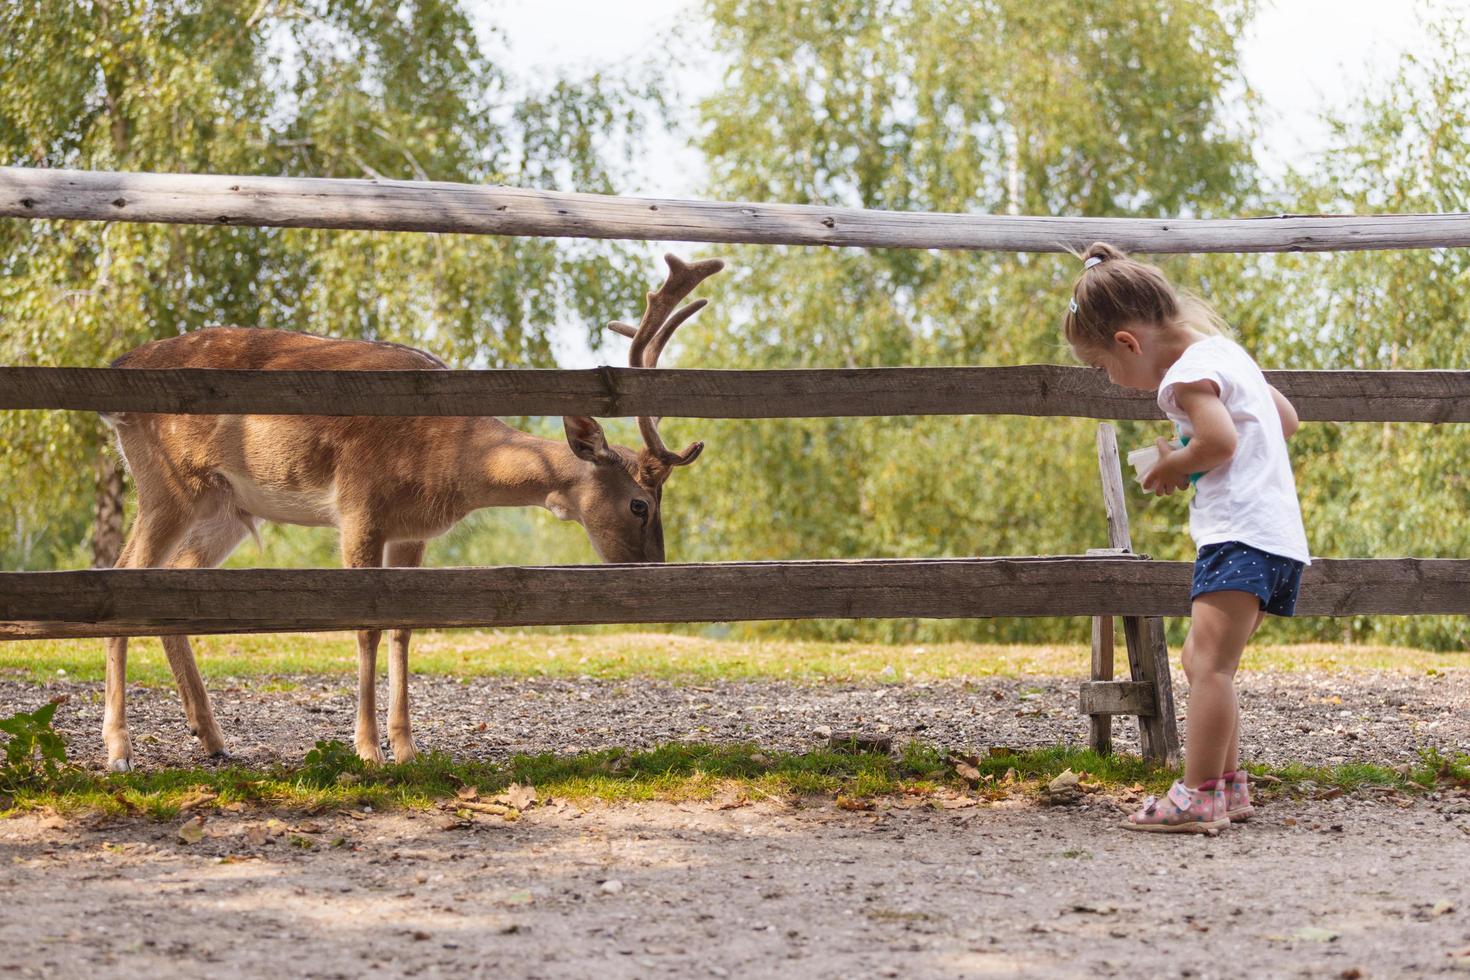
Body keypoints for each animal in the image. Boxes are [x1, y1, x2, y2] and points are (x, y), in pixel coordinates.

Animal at [97, 255, 723, 775]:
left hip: (225, 507)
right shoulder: (359, 505)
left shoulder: (412, 531)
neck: (447, 453)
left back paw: (213, 739)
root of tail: (118, 376)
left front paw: (407, 748)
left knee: (171, 582)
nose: (657, 568)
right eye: (640, 503)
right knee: (125, 574)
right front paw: (367, 750)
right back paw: (120, 750)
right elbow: (366, 625)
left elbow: (403, 626)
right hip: (167, 482)